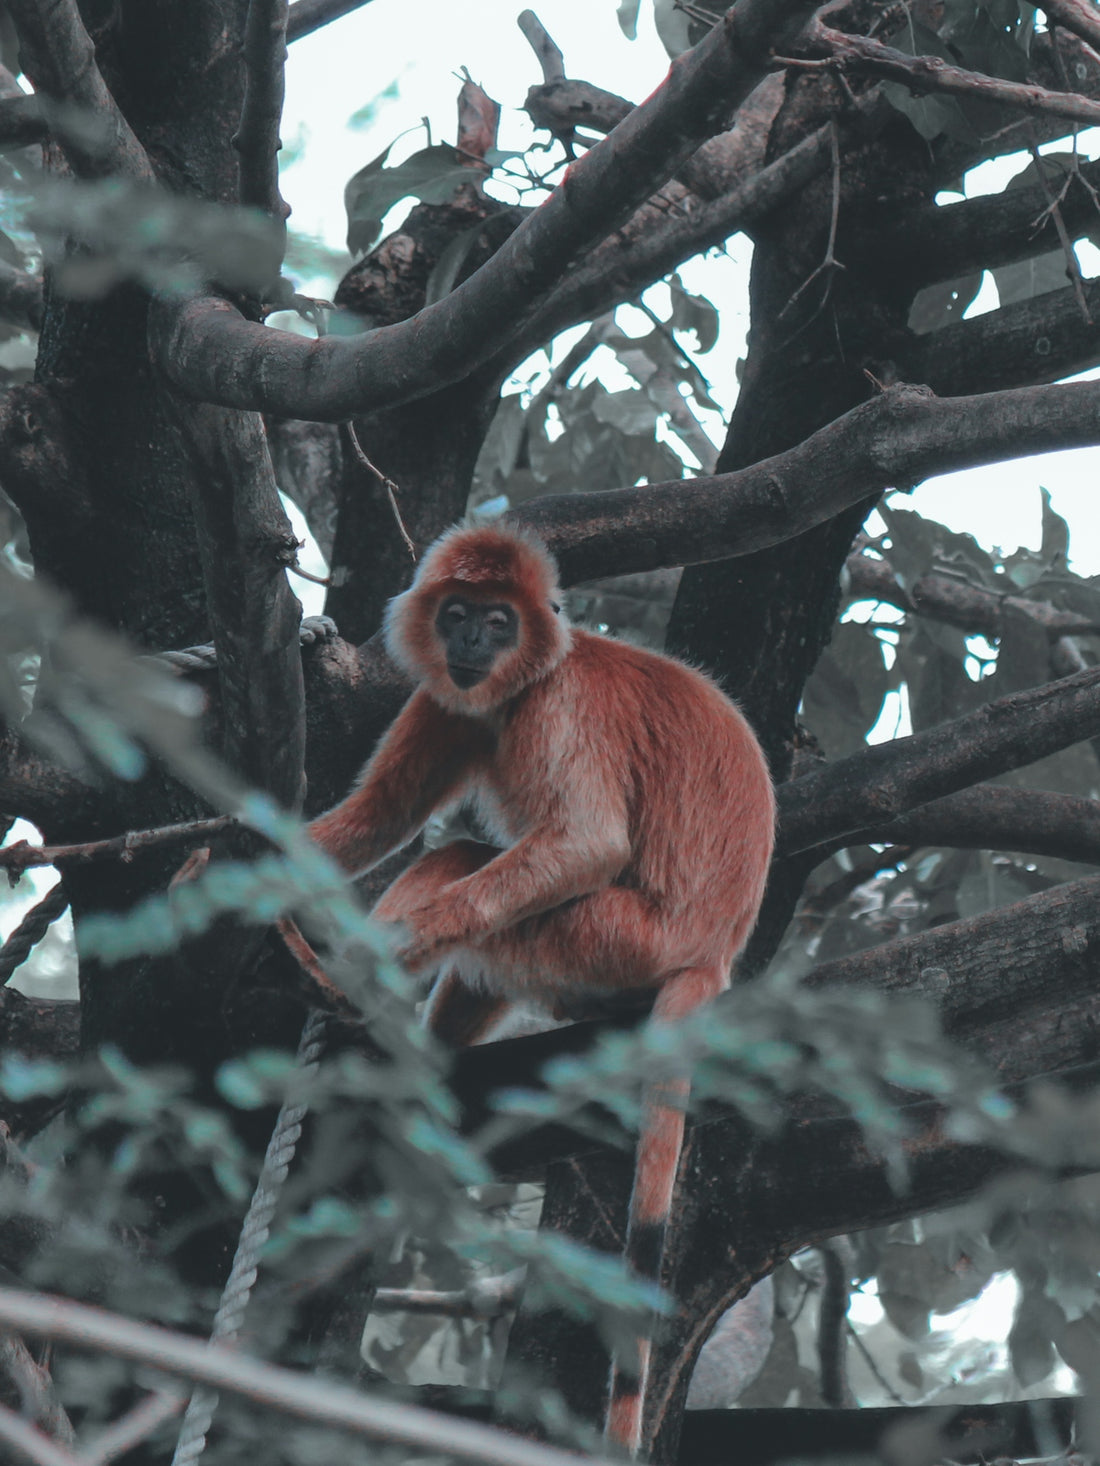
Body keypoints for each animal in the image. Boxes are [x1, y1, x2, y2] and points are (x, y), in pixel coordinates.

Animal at [308, 522, 776, 1453]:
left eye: (499, 621)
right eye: (457, 614)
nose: (470, 644)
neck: (528, 678)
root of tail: (713, 951)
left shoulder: (558, 709)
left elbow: (587, 843)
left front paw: (388, 946)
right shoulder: (457, 700)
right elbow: (376, 817)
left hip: (610, 938)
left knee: (465, 865)